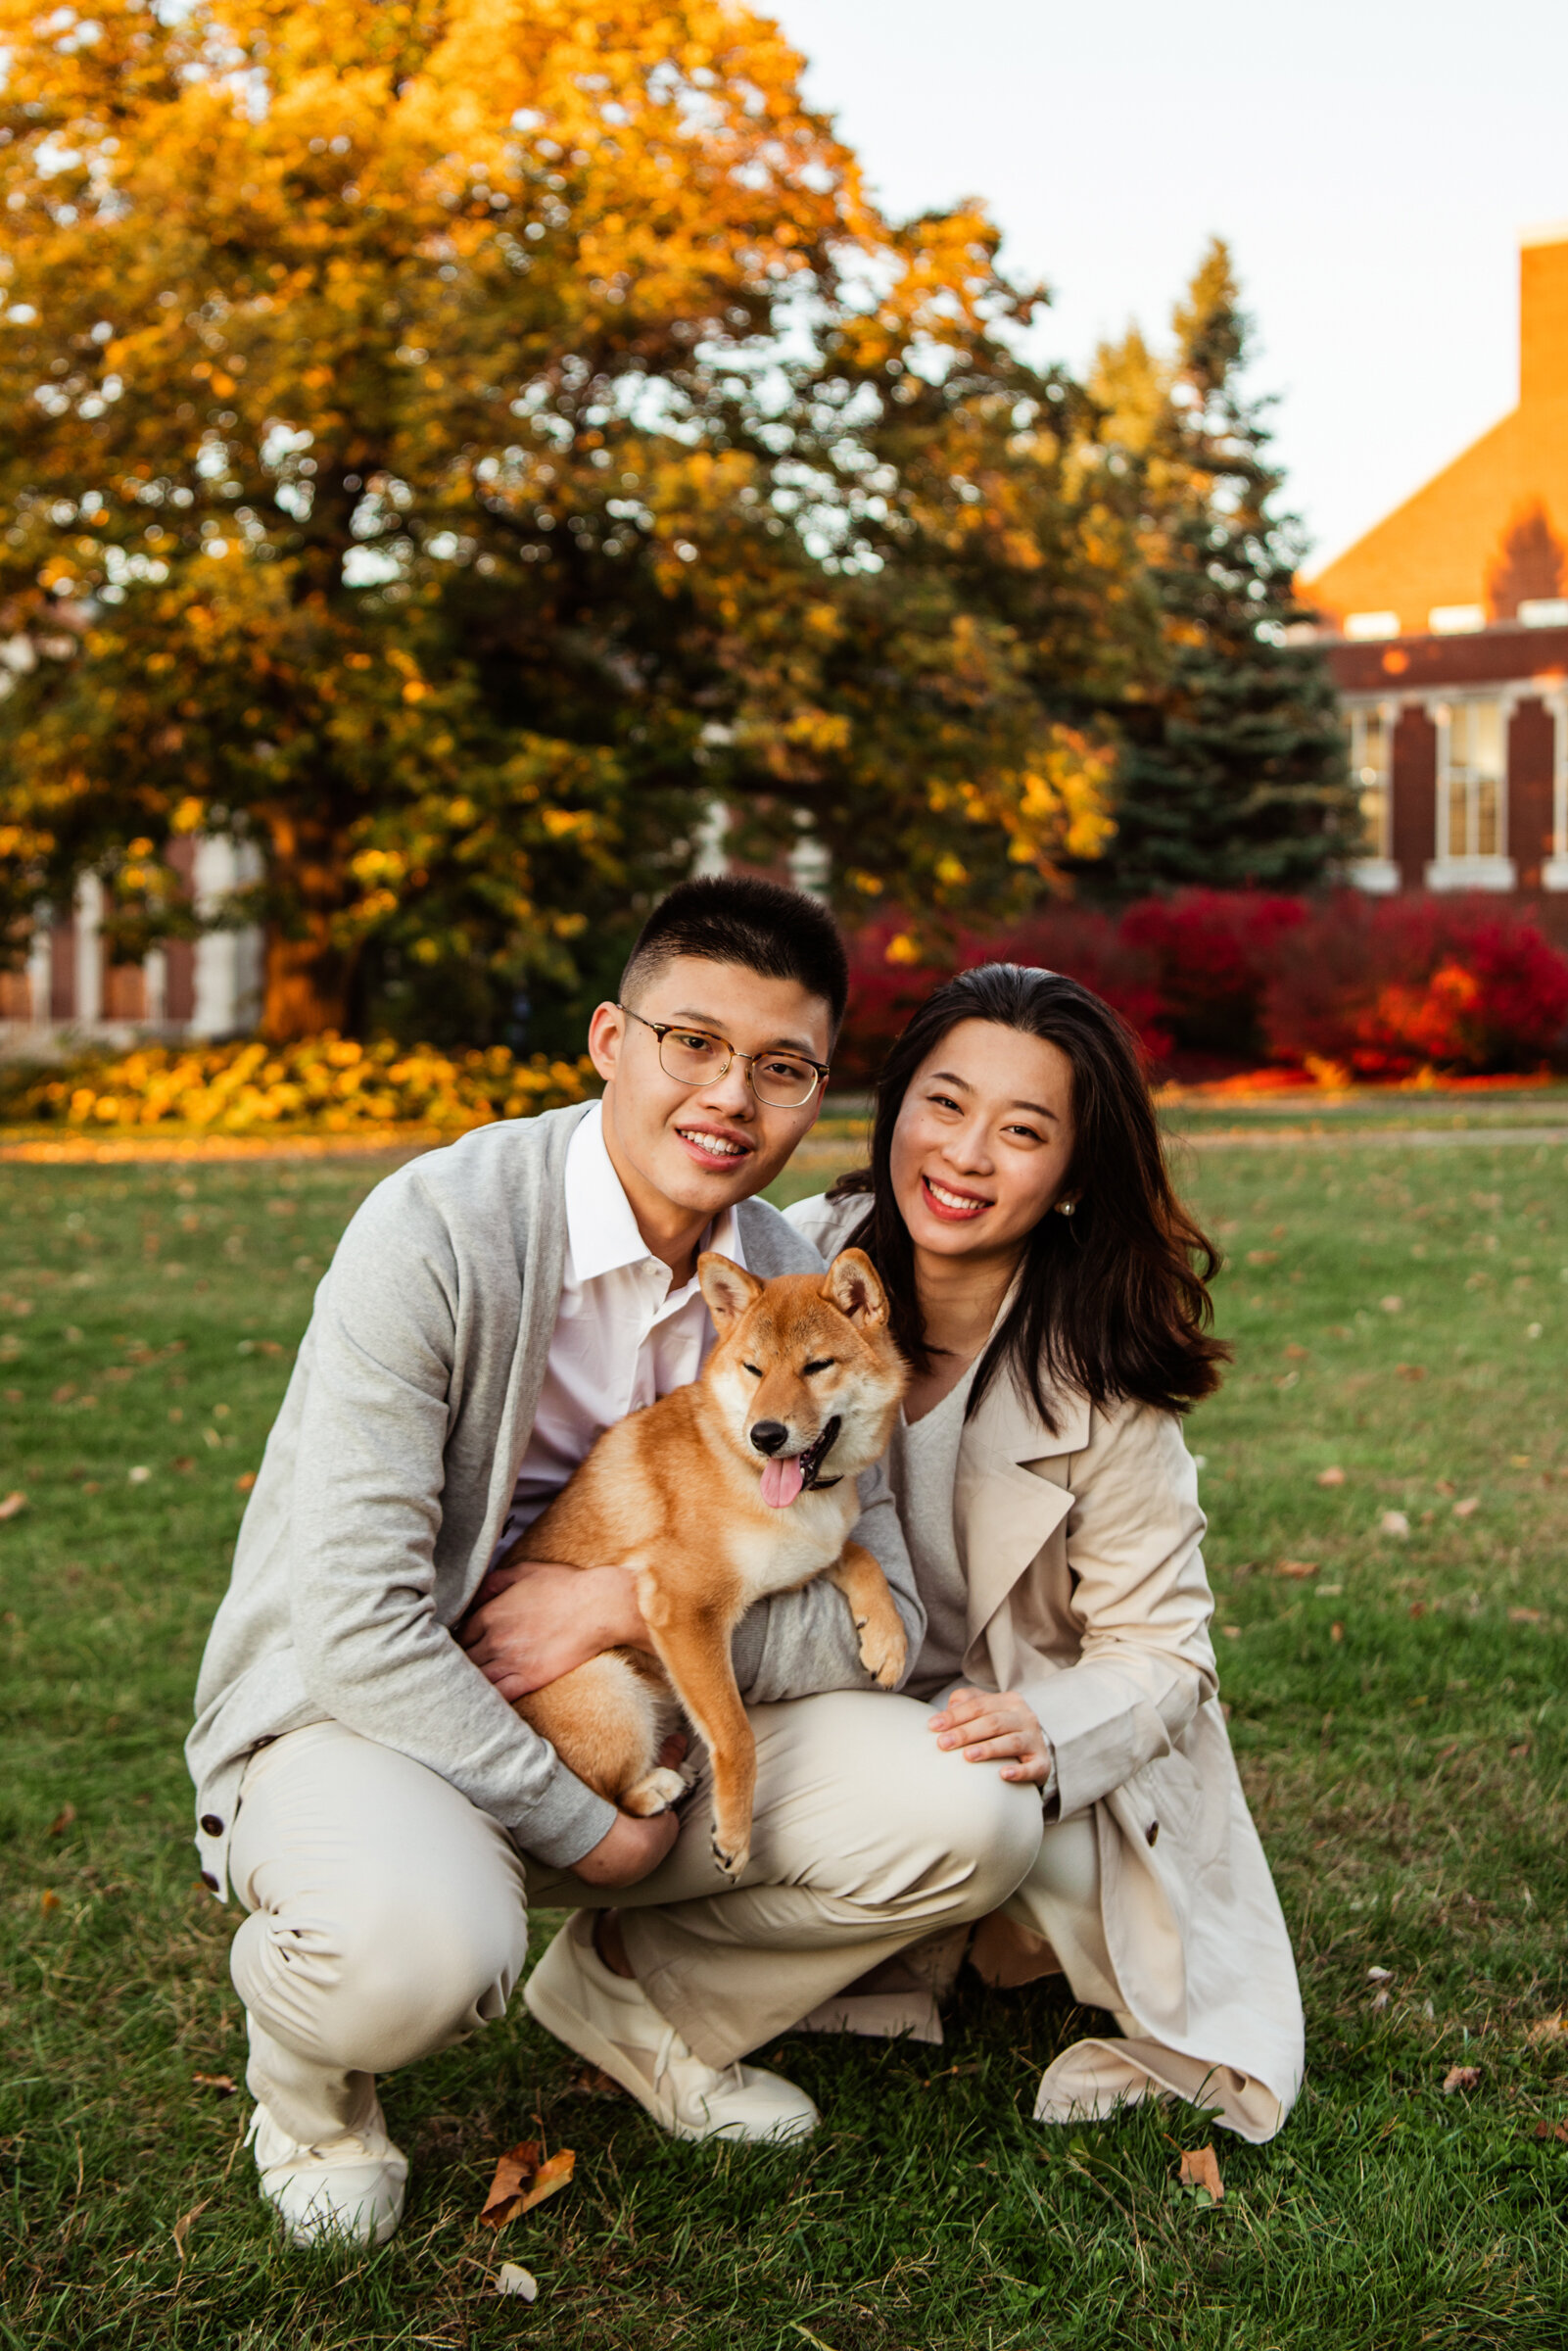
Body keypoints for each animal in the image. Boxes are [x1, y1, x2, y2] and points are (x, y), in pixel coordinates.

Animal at [509, 1250, 907, 1871]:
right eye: (753, 1369)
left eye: (817, 1366)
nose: (766, 1435)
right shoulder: (684, 1609)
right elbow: (735, 1735)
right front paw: (736, 1833)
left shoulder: (804, 1557)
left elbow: (861, 1556)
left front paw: (886, 1640)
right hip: (609, 1688)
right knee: (603, 1794)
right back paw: (656, 1786)